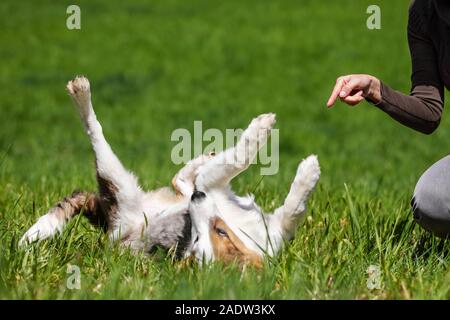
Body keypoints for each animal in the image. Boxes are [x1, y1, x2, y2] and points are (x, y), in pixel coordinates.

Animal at [21, 75, 320, 268]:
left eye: (218, 233)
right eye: (197, 238)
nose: (197, 199)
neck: (242, 230)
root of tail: (107, 223)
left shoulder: (275, 230)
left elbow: (292, 210)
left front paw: (307, 174)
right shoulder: (213, 185)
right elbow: (239, 159)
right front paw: (266, 132)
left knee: (181, 179)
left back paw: (200, 162)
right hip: (118, 180)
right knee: (95, 131)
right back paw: (82, 94)